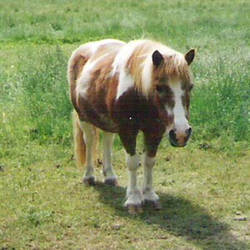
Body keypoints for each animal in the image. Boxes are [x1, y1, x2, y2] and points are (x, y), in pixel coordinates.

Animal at [68, 38, 195, 213]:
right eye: (159, 87)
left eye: (190, 86)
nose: (181, 134)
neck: (138, 93)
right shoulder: (127, 130)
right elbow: (133, 162)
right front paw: (134, 199)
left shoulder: (155, 131)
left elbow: (149, 161)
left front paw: (149, 195)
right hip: (83, 118)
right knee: (90, 142)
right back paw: (89, 176)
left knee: (107, 141)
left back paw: (110, 176)